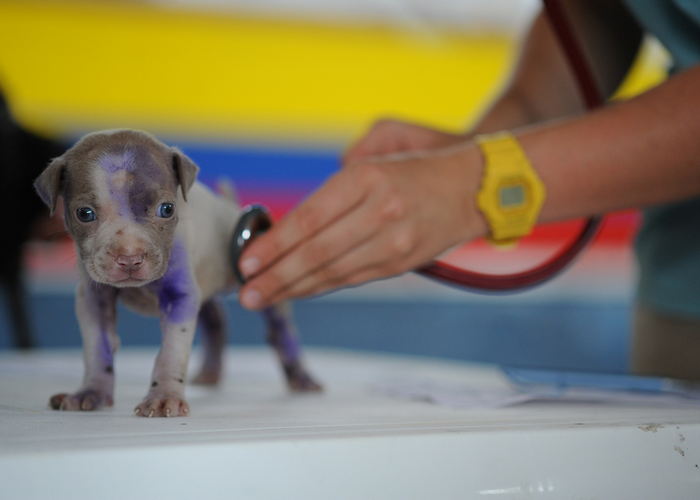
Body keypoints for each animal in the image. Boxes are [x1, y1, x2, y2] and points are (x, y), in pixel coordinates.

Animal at [34, 130, 322, 418]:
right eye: (84, 214)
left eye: (167, 209)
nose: (129, 258)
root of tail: (229, 207)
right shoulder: (93, 299)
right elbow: (97, 348)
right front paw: (91, 392)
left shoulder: (180, 296)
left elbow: (170, 352)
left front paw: (163, 397)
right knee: (216, 319)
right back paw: (210, 372)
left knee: (280, 329)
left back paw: (301, 377)